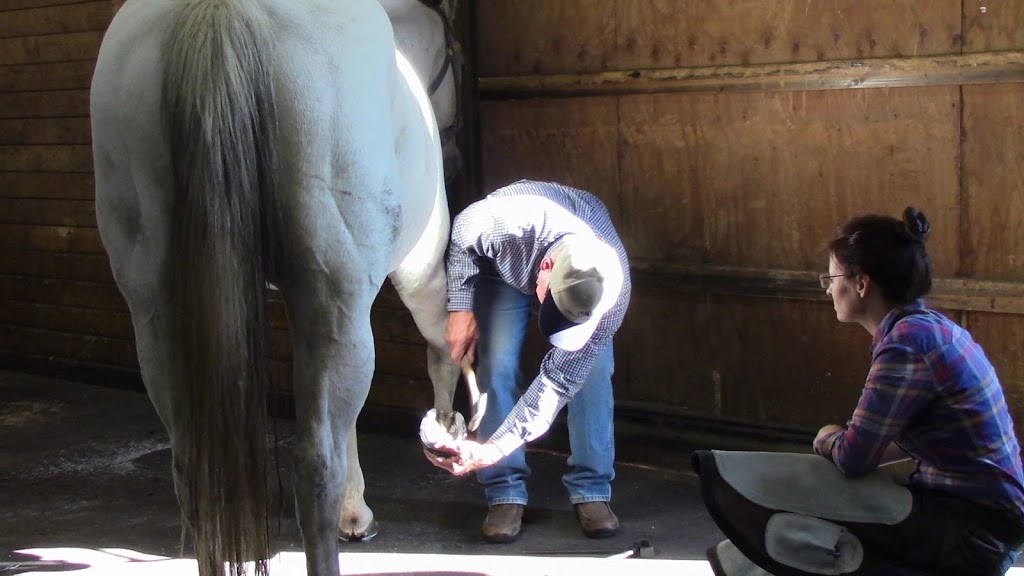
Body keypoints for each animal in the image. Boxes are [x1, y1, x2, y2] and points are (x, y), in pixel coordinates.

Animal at [92, 1, 464, 573]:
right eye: (454, 51)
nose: (456, 149)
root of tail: (218, 18)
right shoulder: (411, 273)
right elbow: (441, 346)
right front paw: (445, 429)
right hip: (341, 300)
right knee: (315, 468)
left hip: (156, 313)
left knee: (192, 469)